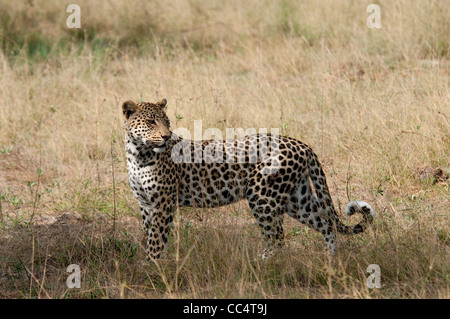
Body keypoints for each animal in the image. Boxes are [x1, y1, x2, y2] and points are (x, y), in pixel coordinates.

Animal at [121, 99, 374, 262]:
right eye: (151, 122)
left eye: (166, 121)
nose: (165, 136)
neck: (138, 155)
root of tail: (302, 144)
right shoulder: (145, 204)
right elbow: (148, 234)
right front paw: (148, 264)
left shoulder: (163, 203)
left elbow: (156, 239)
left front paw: (153, 267)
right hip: (296, 198)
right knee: (326, 224)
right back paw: (330, 261)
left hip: (262, 194)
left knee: (278, 238)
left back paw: (258, 263)